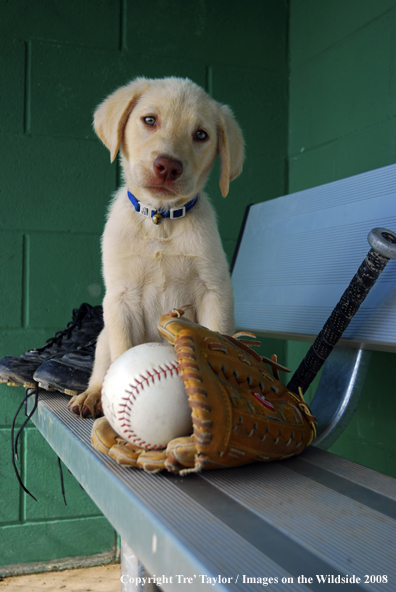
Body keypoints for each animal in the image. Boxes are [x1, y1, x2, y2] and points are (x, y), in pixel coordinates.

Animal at [70, 76, 244, 416]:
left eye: (200, 135)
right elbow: (121, 356)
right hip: (103, 333)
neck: (161, 219)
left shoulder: (214, 292)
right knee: (102, 366)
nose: (168, 166)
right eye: (150, 120)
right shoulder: (120, 300)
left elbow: (218, 338)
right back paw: (91, 396)